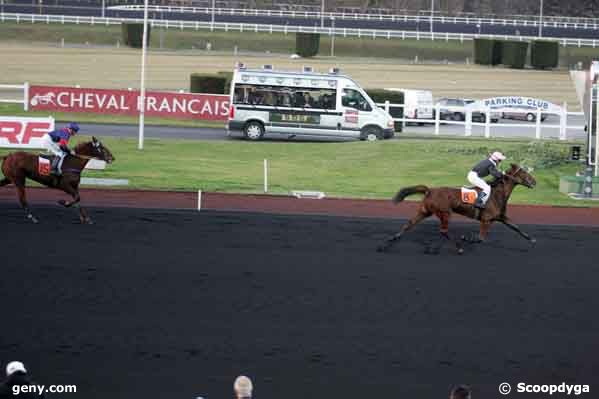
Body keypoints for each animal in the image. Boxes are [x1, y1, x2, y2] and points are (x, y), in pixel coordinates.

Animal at [378, 165, 536, 253]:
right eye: (524, 173)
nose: (535, 181)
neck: (497, 193)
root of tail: (430, 190)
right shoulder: (486, 220)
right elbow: (480, 239)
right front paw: (466, 238)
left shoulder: (500, 217)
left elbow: (516, 227)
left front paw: (532, 239)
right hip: (445, 213)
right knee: (443, 231)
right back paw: (459, 248)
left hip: (424, 211)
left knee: (408, 225)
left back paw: (388, 243)